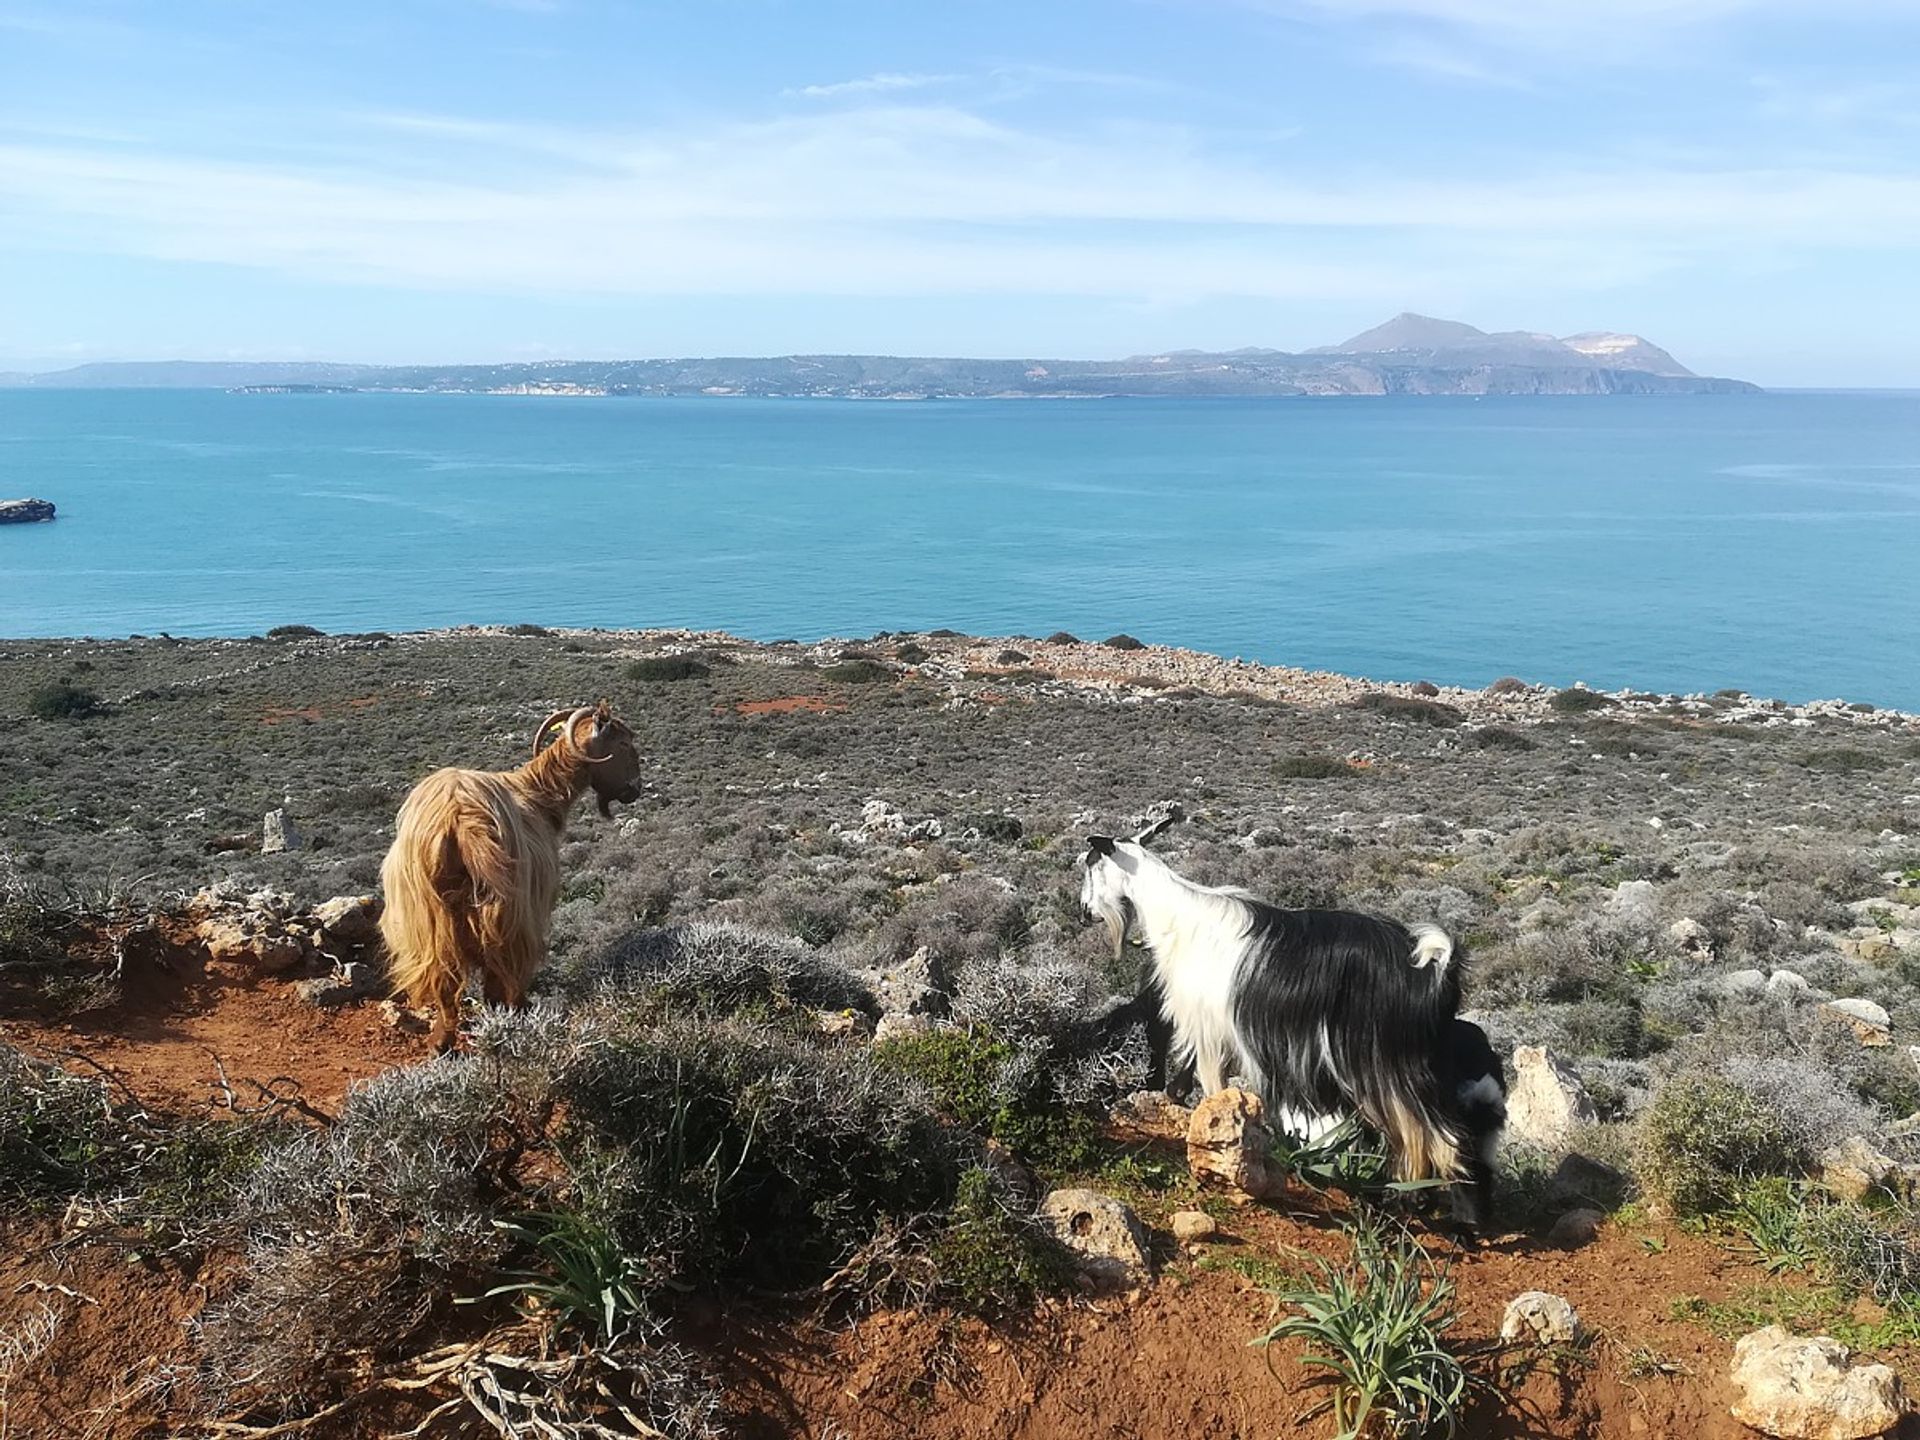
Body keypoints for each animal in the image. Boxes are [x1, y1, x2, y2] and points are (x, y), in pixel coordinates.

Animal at [378, 706, 641, 1052]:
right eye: (623, 743)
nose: (635, 789)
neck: (537, 794)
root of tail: (457, 819)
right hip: (504, 912)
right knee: (498, 974)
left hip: (430, 919)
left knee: (445, 979)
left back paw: (441, 1041)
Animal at [1082, 833, 1497, 1228]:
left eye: (1090, 863)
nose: (1085, 912)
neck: (1179, 917)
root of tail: (1435, 969)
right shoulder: (1217, 1030)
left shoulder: (1208, 1026)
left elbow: (1211, 1084)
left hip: (1389, 1065)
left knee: (1437, 1136)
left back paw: (1438, 1210)